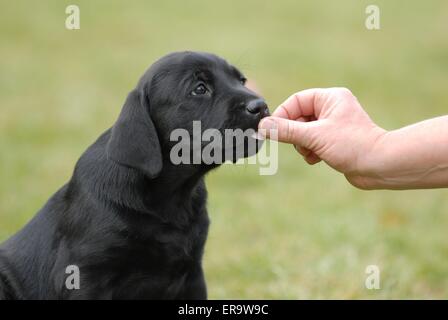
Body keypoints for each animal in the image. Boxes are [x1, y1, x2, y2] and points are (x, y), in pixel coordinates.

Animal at [0, 51, 266, 298]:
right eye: (199, 88)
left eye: (242, 80)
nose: (260, 105)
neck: (171, 195)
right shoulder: (84, 275)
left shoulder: (192, 273)